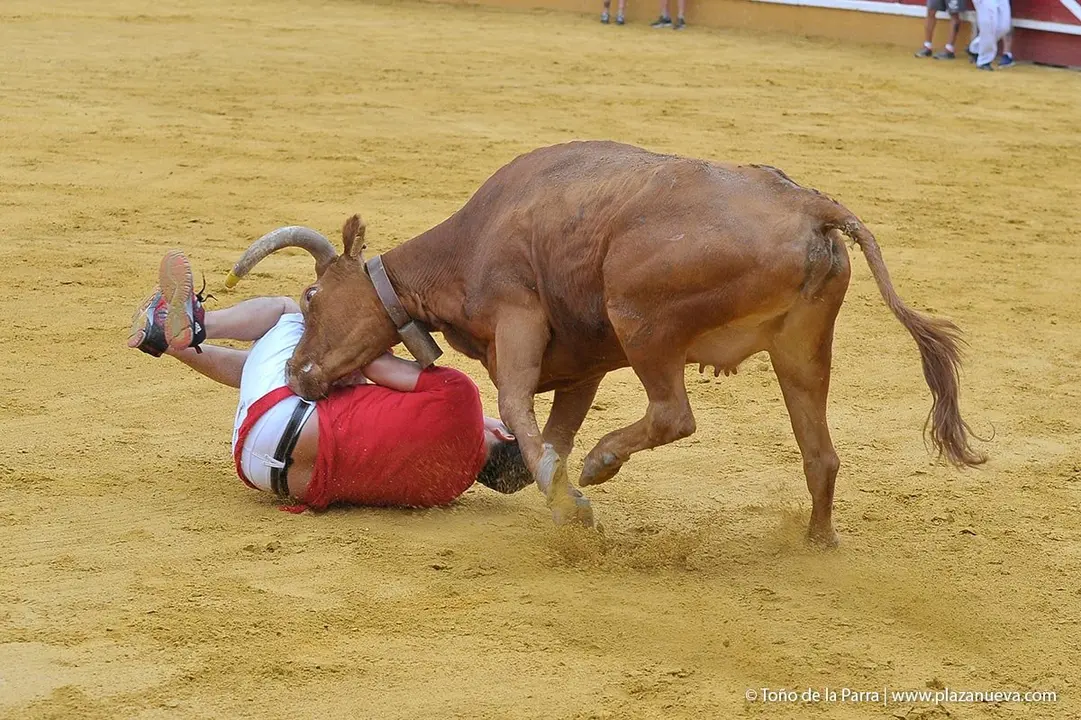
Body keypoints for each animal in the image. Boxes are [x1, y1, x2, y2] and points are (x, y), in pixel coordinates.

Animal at [225, 141, 985, 544]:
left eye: (312, 298)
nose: (296, 373)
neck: (465, 245)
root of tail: (808, 204)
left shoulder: (519, 320)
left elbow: (521, 408)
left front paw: (568, 501)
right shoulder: (583, 365)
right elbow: (552, 429)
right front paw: (545, 483)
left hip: (641, 317)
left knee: (674, 414)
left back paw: (601, 466)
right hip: (800, 351)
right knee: (820, 455)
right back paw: (818, 541)